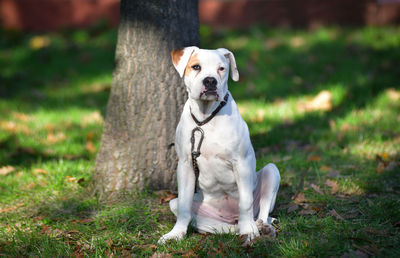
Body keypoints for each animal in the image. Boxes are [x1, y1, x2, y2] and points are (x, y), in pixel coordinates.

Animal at [158, 46, 280, 244]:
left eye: (221, 68)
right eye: (196, 67)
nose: (210, 81)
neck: (205, 118)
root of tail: (231, 217)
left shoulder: (242, 163)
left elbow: (245, 202)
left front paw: (249, 231)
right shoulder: (185, 165)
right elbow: (184, 207)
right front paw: (176, 233)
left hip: (271, 171)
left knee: (262, 213)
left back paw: (260, 227)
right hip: (177, 203)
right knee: (217, 226)